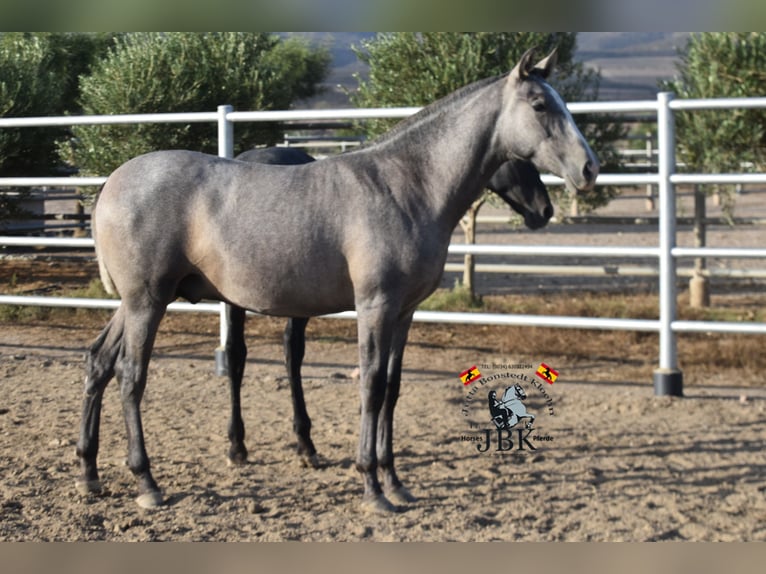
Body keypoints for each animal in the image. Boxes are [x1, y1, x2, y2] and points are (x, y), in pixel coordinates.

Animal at [231, 145, 556, 472]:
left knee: (292, 354)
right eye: (516, 159)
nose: (544, 209)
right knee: (242, 355)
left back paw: (305, 444)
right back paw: (240, 445)